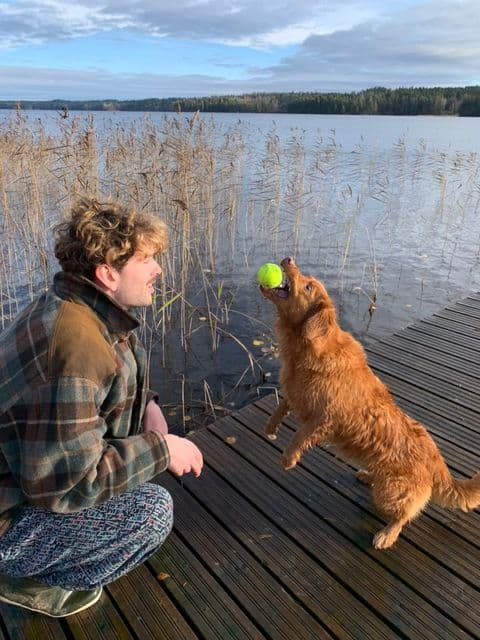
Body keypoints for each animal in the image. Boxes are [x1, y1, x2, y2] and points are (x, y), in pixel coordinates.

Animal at [260, 256, 480, 549]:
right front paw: (271, 427)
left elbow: (300, 435)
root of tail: (438, 464)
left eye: (308, 287)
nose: (288, 259)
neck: (308, 345)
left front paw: (288, 458)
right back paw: (367, 475)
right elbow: (281, 406)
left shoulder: (324, 417)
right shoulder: (296, 395)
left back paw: (387, 534)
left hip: (391, 492)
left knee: (404, 515)